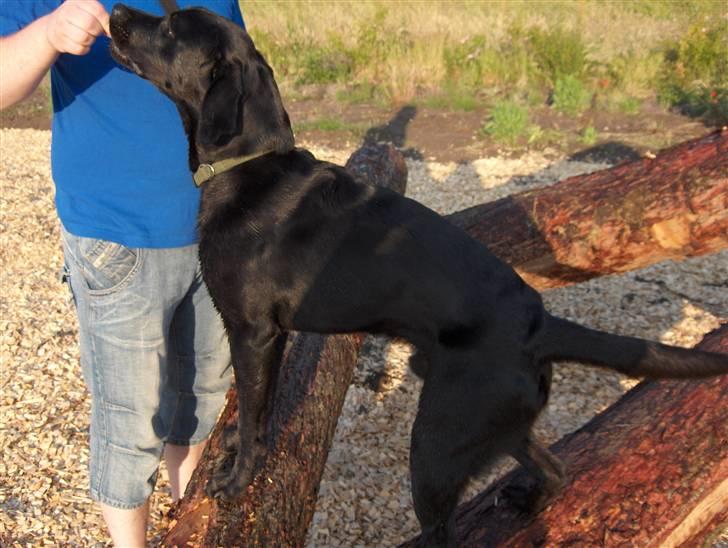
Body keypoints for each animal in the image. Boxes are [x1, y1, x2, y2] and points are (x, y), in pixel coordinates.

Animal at [109, 6, 728, 544]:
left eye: (170, 26)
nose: (114, 12)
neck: (248, 167)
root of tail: (539, 324)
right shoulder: (270, 337)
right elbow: (256, 406)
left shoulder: (254, 332)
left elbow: (257, 414)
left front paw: (237, 481)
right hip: (488, 427)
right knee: (552, 467)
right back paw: (526, 498)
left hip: (433, 447)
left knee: (442, 531)